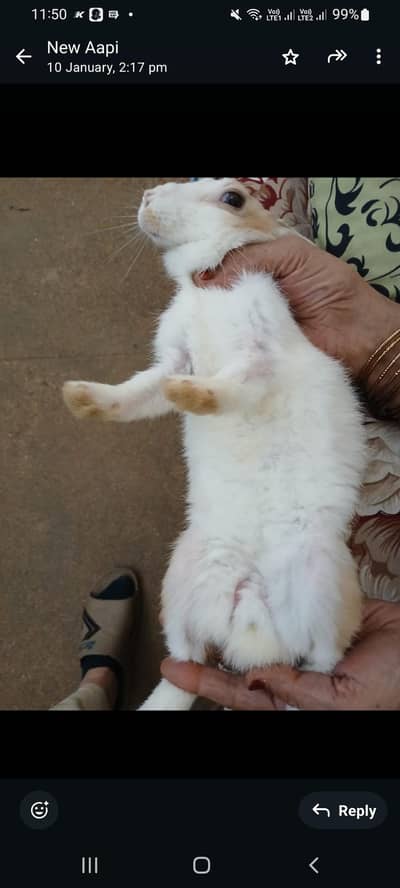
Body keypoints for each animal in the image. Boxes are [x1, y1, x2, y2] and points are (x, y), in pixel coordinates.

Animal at [63, 178, 367, 710]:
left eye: (233, 197)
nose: (147, 197)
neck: (202, 284)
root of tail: (251, 627)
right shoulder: (173, 357)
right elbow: (135, 394)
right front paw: (78, 398)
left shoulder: (259, 355)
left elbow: (230, 386)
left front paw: (187, 394)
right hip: (182, 581)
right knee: (186, 662)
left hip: (325, 584)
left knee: (318, 665)